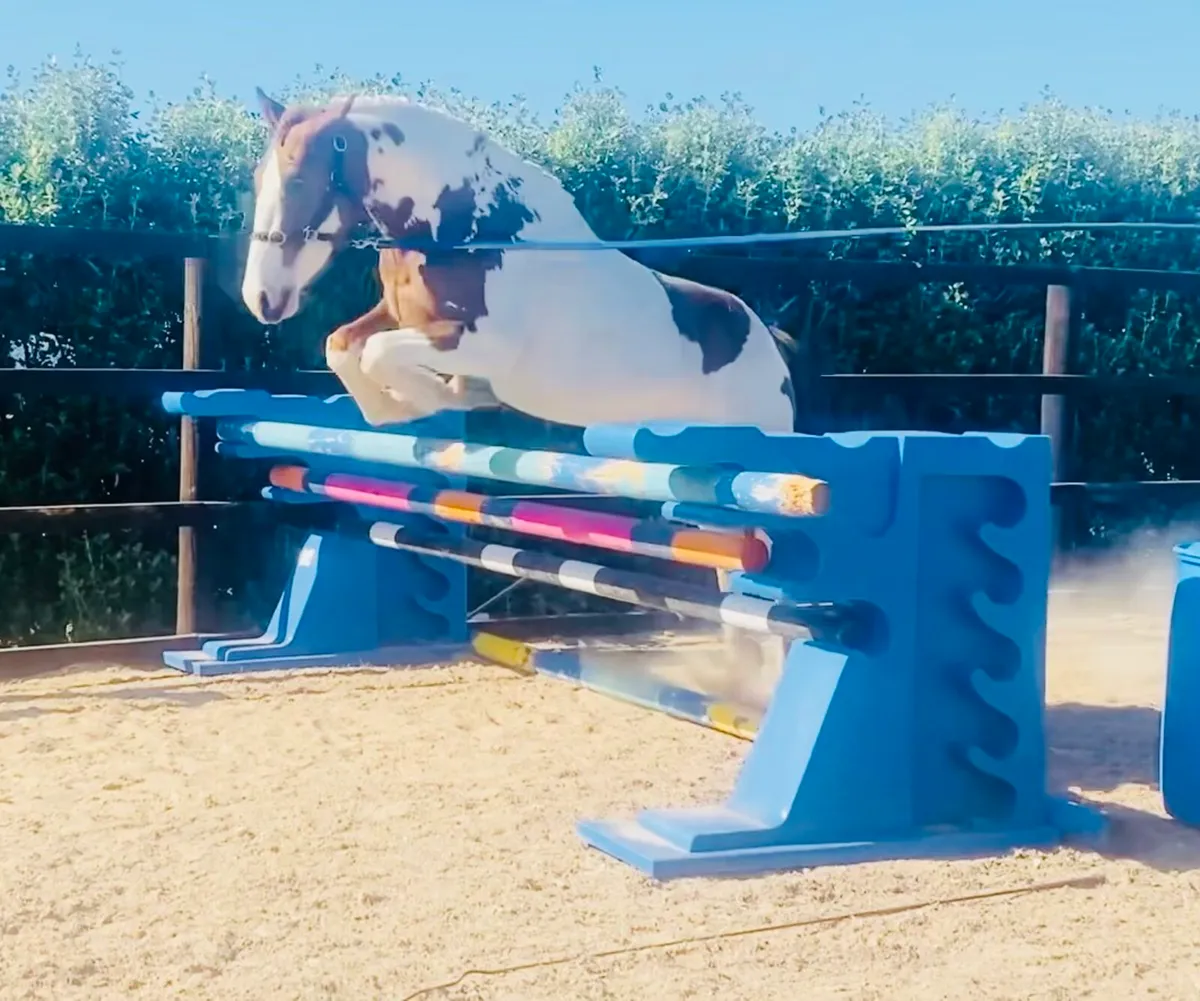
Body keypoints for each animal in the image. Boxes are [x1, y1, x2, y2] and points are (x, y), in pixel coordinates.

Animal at [240, 89, 799, 433]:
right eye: (257, 178)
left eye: (298, 182)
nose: (260, 299)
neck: (466, 232)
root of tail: (767, 340)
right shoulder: (400, 316)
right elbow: (341, 345)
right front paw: (400, 407)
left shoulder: (484, 345)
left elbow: (379, 353)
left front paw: (451, 396)